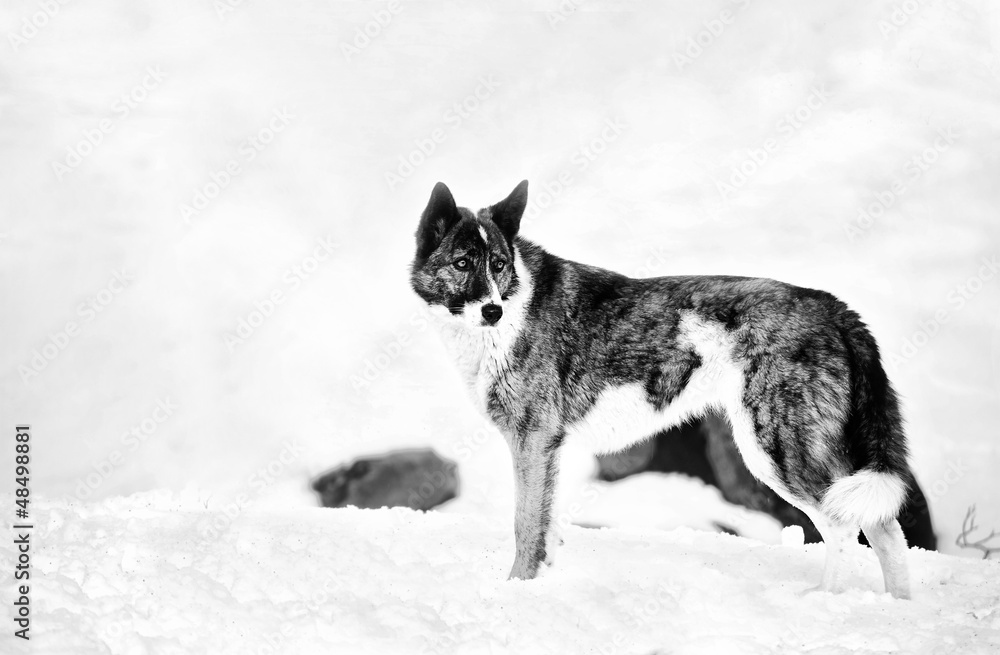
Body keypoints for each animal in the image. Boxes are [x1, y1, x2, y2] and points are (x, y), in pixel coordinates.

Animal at [409, 180, 912, 599]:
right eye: (462, 263)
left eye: (498, 265)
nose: (492, 310)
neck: (514, 309)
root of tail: (830, 305)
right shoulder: (546, 449)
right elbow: (545, 530)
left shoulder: (533, 441)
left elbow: (525, 527)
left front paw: (516, 590)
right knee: (886, 528)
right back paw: (897, 607)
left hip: (774, 450)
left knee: (844, 527)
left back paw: (823, 599)